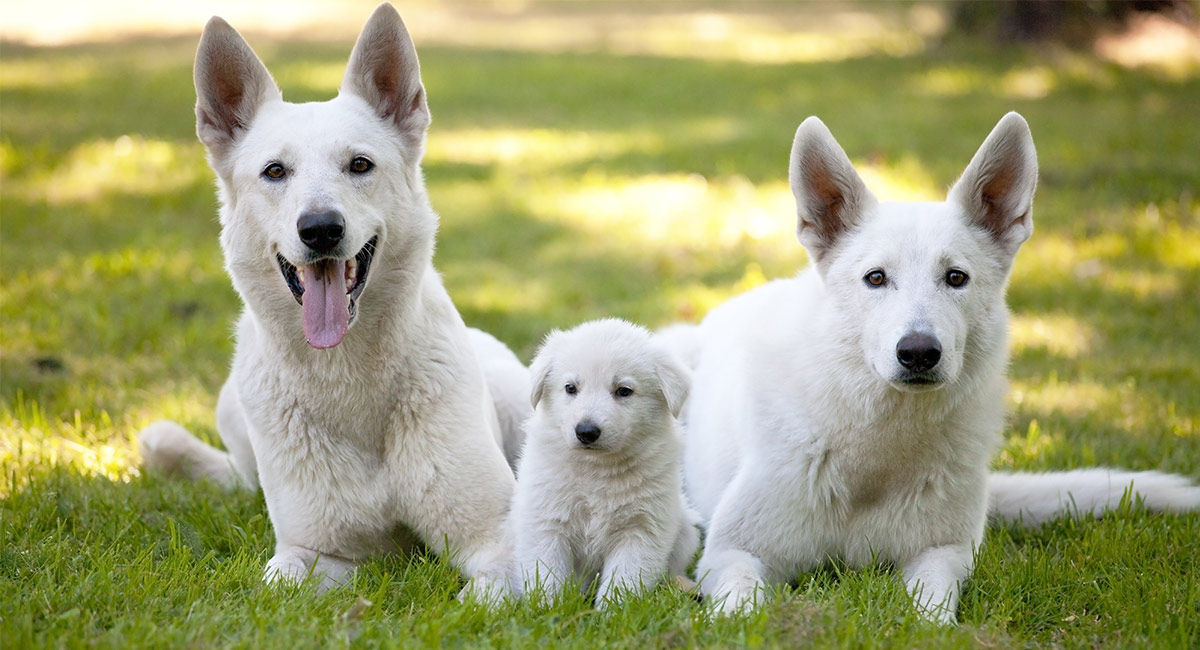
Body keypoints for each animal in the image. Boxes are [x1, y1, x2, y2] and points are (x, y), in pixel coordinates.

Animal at [137, 2, 525, 602]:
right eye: (275, 171)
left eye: (359, 165)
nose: (320, 229)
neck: (348, 375)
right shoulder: (313, 553)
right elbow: (275, 584)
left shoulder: (500, 544)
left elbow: (482, 597)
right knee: (240, 478)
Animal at [511, 319, 700, 609]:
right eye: (570, 388)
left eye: (624, 391)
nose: (586, 431)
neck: (597, 469)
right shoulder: (545, 520)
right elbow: (546, 571)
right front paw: (547, 609)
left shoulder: (641, 529)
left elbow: (625, 578)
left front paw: (611, 612)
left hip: (685, 531)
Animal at [681, 114, 1200, 623]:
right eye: (876, 278)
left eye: (955, 278)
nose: (918, 352)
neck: (879, 451)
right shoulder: (731, 553)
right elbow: (742, 611)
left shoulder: (943, 555)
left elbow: (931, 609)